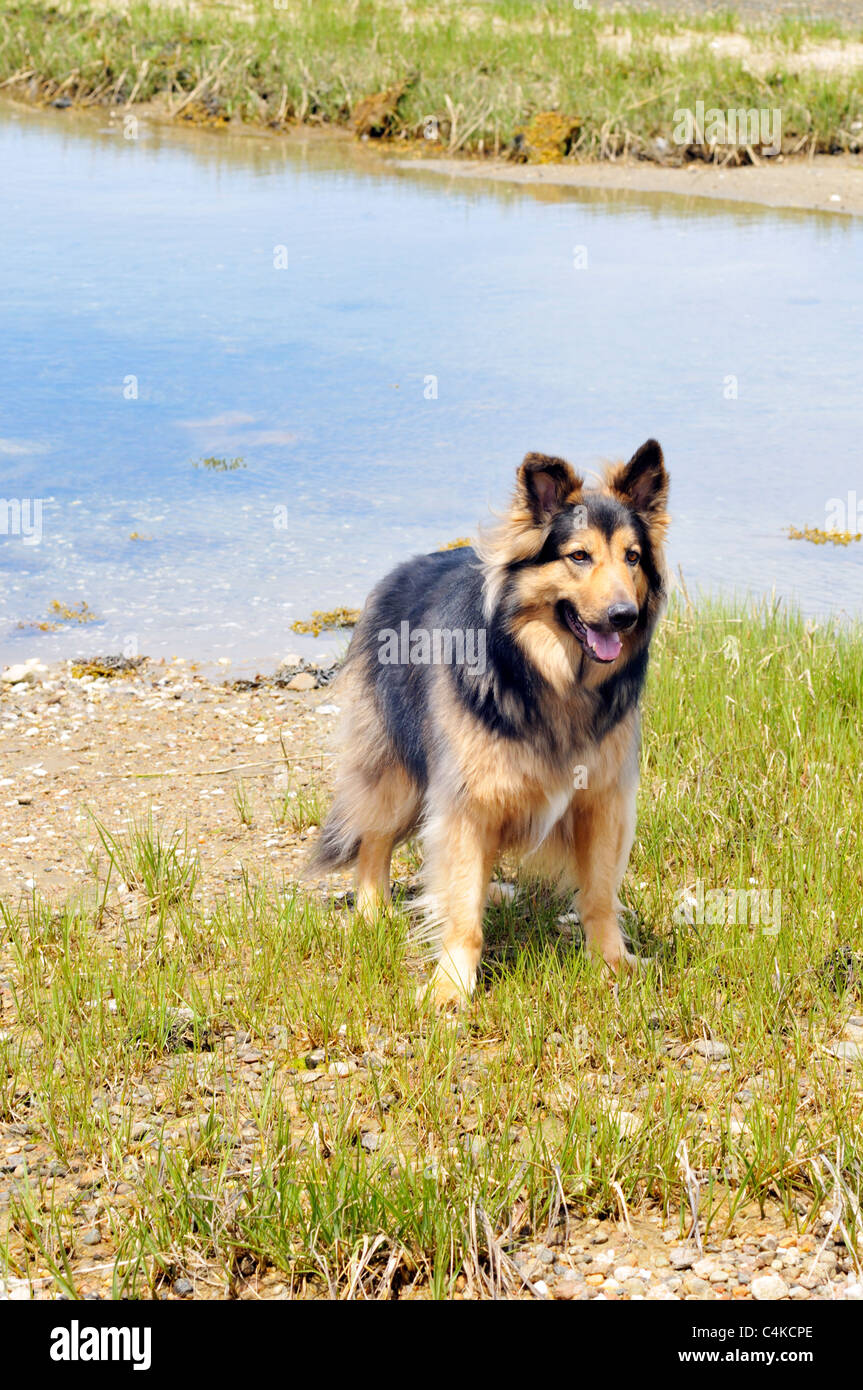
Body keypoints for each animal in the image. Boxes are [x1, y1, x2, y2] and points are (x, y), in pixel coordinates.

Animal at [312, 439, 669, 1006]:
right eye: (579, 556)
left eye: (632, 557)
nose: (624, 616)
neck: (549, 675)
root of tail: (403, 569)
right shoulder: (466, 801)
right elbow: (461, 908)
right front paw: (452, 986)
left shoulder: (602, 798)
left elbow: (598, 893)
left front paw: (613, 963)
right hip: (396, 766)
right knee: (373, 834)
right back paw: (373, 912)